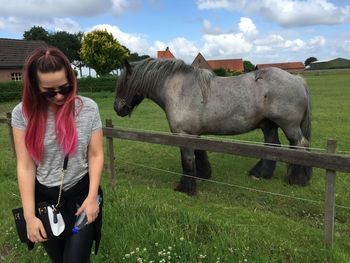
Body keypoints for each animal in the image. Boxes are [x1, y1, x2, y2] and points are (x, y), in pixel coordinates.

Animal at [114, 58, 312, 196]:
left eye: (124, 83)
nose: (117, 108)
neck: (180, 90)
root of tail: (297, 79)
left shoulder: (183, 135)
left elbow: (187, 161)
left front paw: (186, 188)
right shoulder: (194, 134)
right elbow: (199, 154)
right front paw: (203, 174)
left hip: (289, 126)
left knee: (300, 147)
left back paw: (297, 179)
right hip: (268, 125)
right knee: (273, 147)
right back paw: (261, 174)